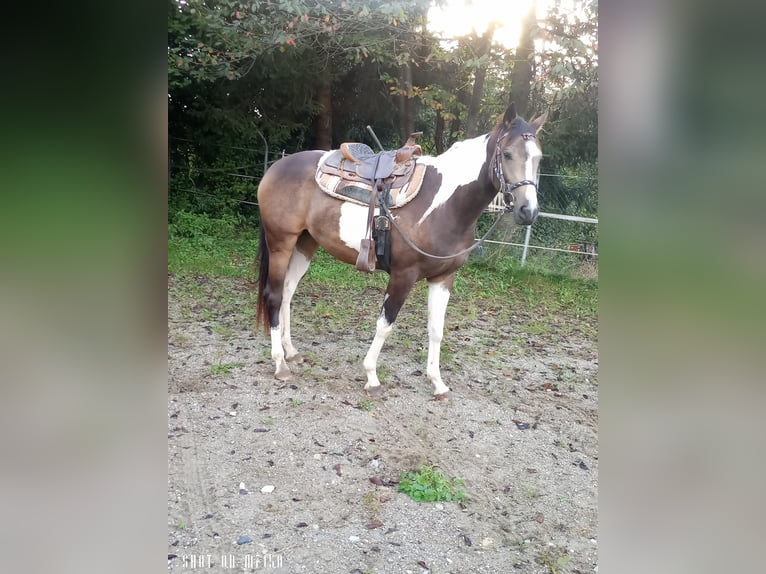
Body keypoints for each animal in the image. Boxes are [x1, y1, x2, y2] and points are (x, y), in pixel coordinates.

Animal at [256, 103, 544, 398]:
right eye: (507, 154)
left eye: (538, 158)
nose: (528, 211)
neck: (447, 206)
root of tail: (277, 166)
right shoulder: (403, 275)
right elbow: (385, 325)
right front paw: (371, 376)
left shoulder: (443, 277)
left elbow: (436, 329)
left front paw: (437, 382)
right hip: (281, 243)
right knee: (274, 295)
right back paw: (280, 363)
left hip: (305, 243)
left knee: (288, 292)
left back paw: (291, 352)